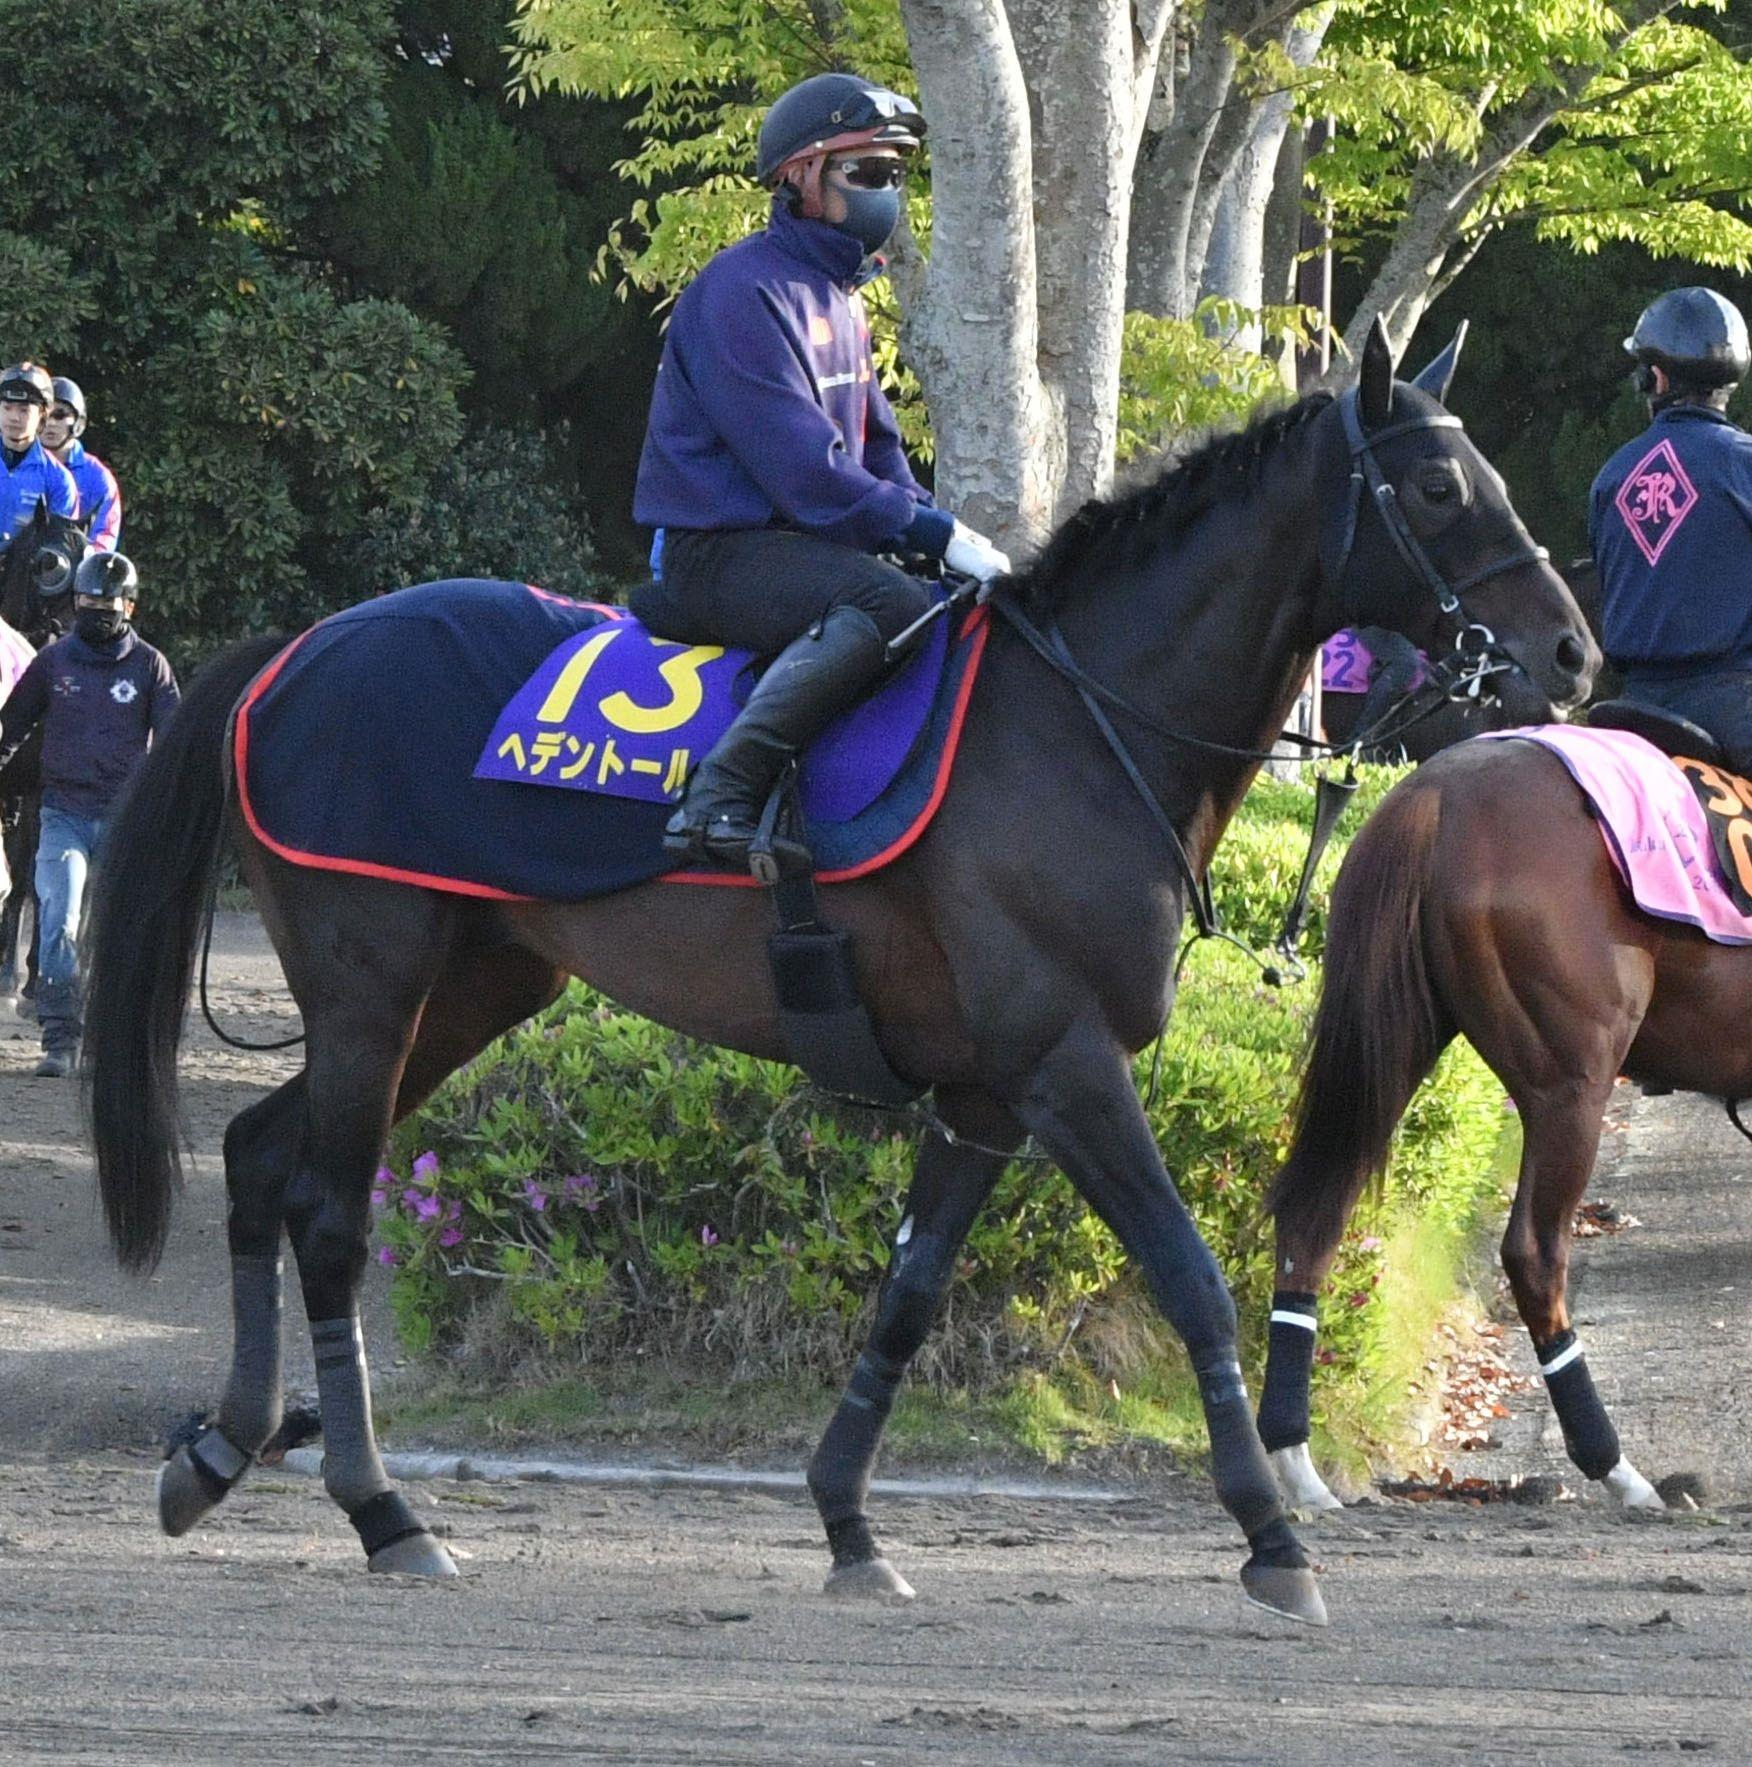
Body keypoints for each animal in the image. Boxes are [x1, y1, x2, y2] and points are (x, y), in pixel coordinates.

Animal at [84, 320, 1595, 1628]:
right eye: (1442, 484)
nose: (1573, 650)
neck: (1074, 724)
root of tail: (299, 651)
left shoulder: (985, 1098)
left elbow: (910, 1297)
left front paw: (849, 1522)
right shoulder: (1068, 1069)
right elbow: (1188, 1273)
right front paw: (1272, 1531)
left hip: (470, 988)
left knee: (259, 1153)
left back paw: (217, 1449)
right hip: (371, 987)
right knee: (328, 1211)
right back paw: (381, 1507)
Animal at [1253, 706, 1752, 1516]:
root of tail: (1435, 792)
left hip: (1394, 1039)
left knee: (1314, 1211)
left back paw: (1296, 1460)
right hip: (1570, 1086)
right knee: (1535, 1253)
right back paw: (1618, 1469)